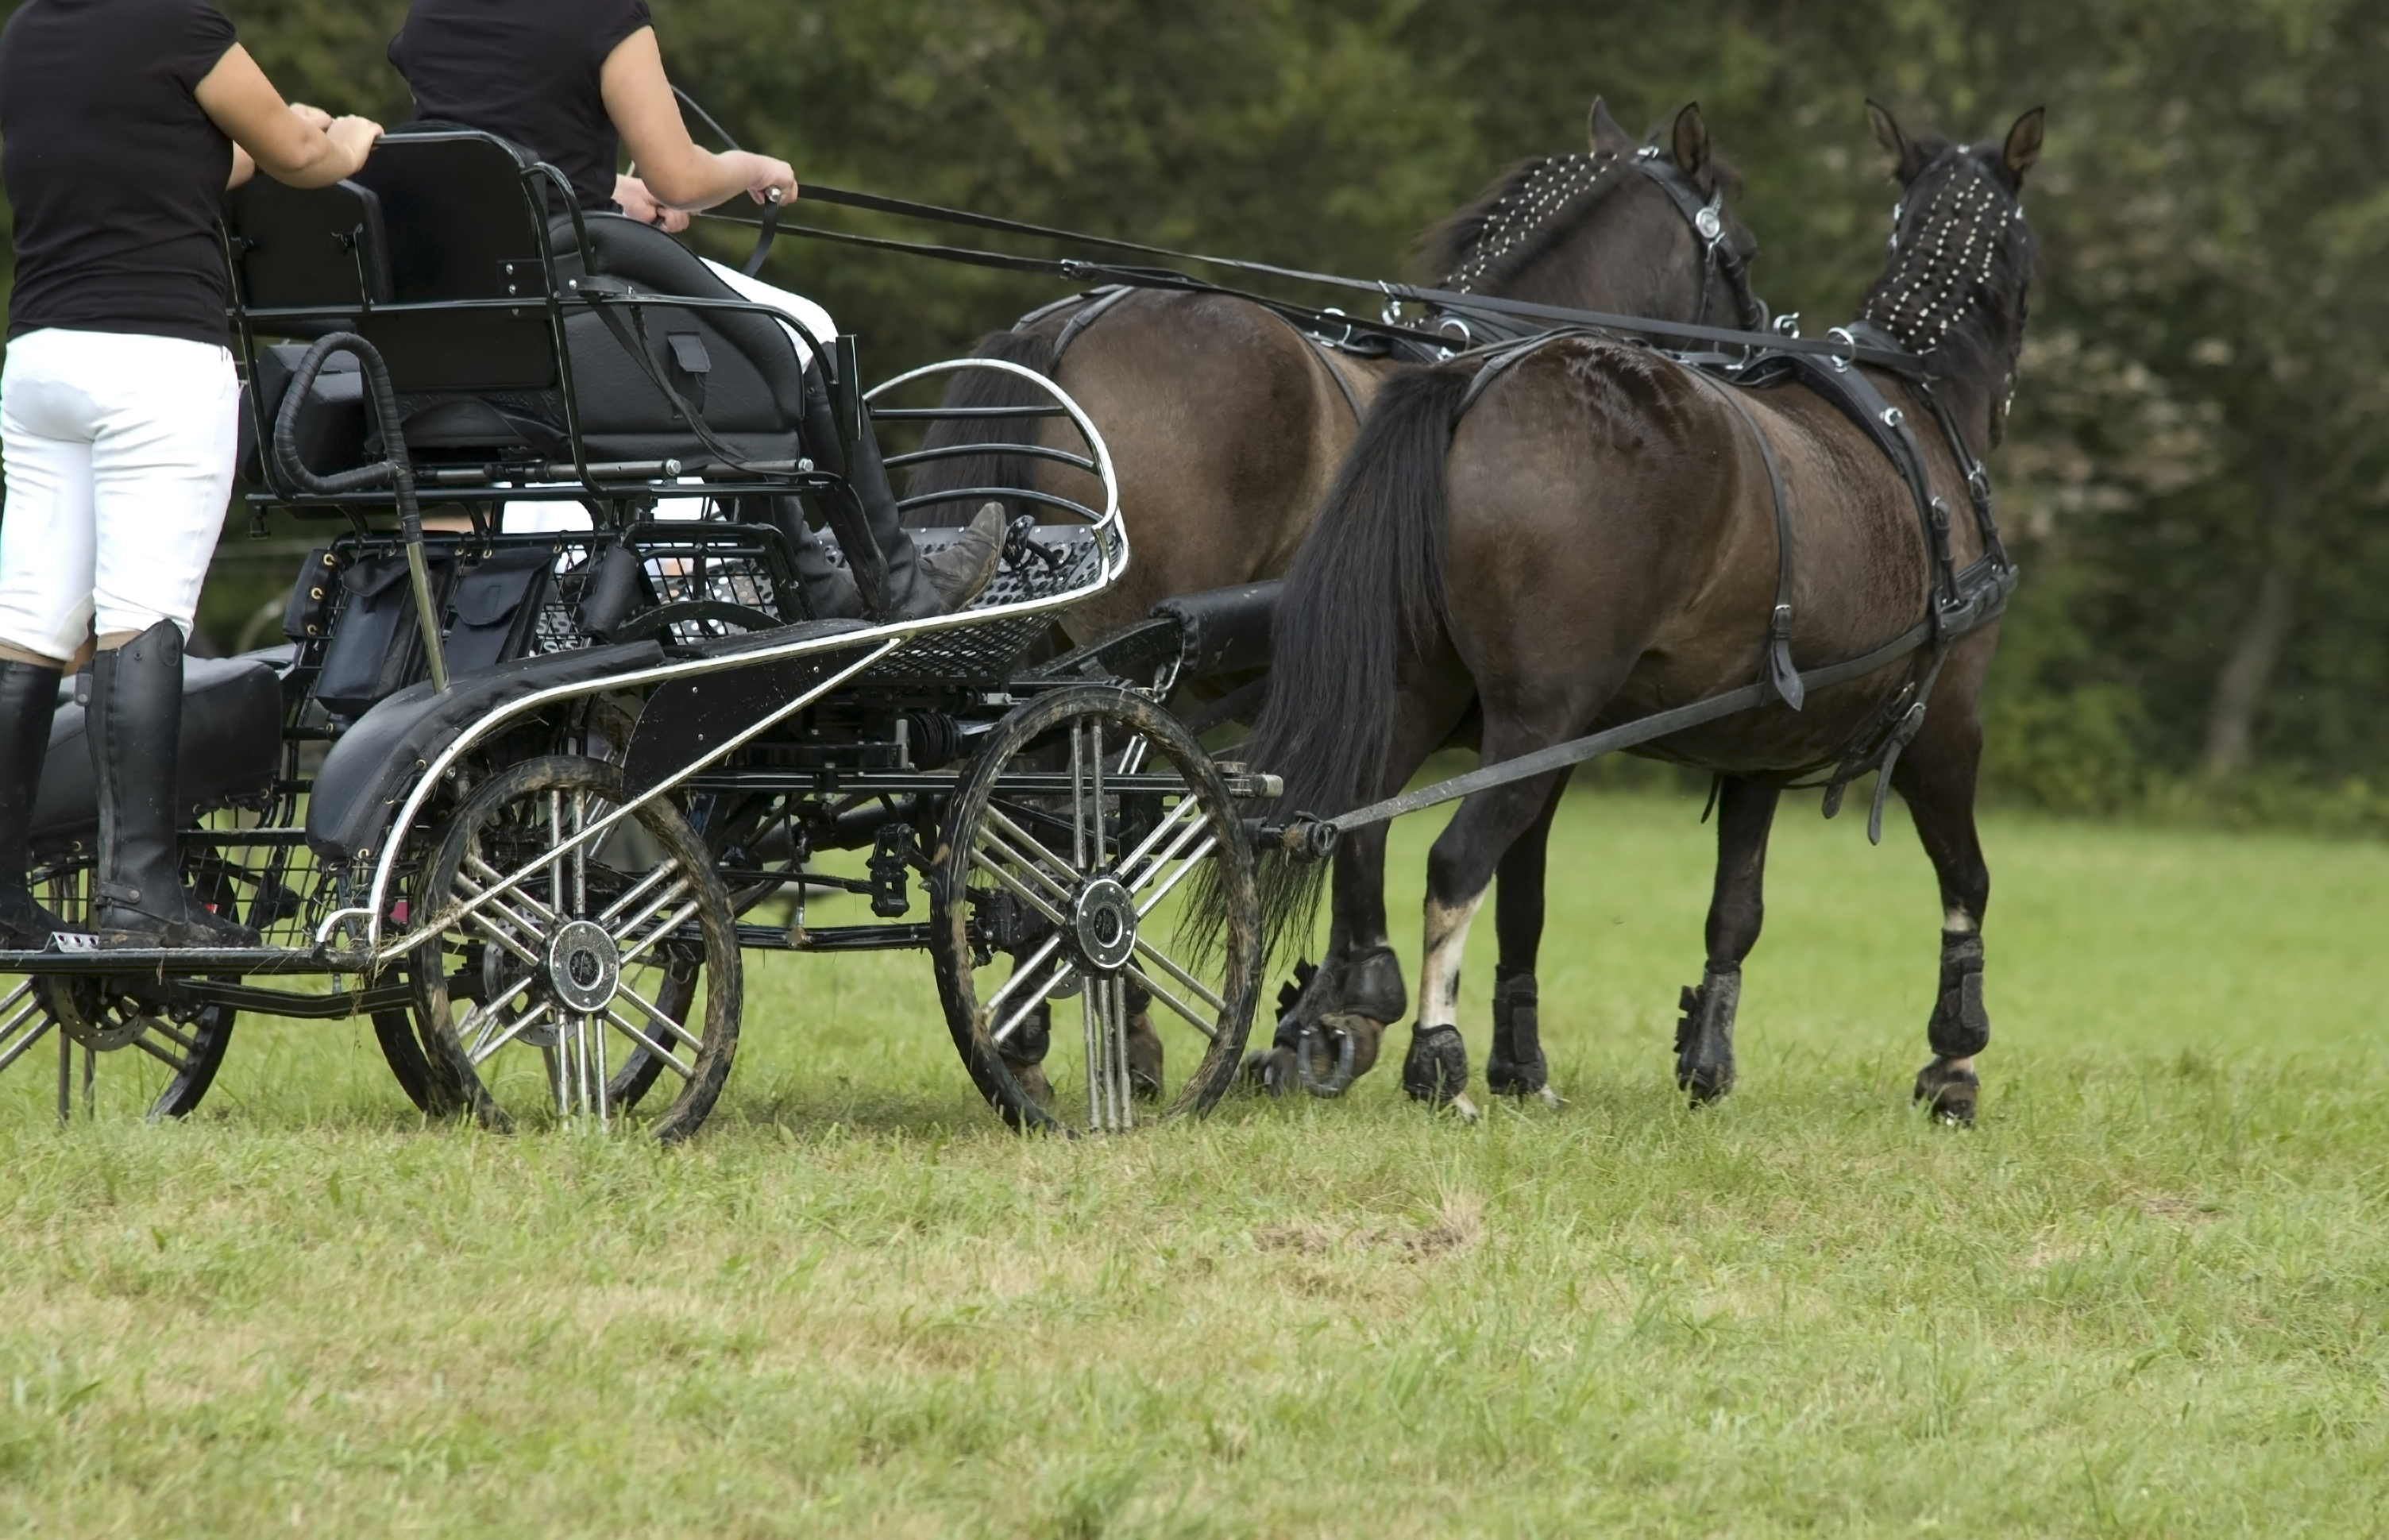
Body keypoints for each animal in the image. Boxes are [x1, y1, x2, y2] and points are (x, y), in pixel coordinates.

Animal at [1233, 103, 2044, 1123]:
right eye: (1739, 250)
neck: (1912, 402)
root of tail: (1471, 380)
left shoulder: (1756, 745)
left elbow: (1730, 908)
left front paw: (1701, 1056)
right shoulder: (1945, 726)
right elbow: (1965, 879)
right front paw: (1953, 1060)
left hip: (1423, 693)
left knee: (1359, 827)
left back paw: (1347, 1015)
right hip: (1536, 719)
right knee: (1452, 861)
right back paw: (1435, 1056)